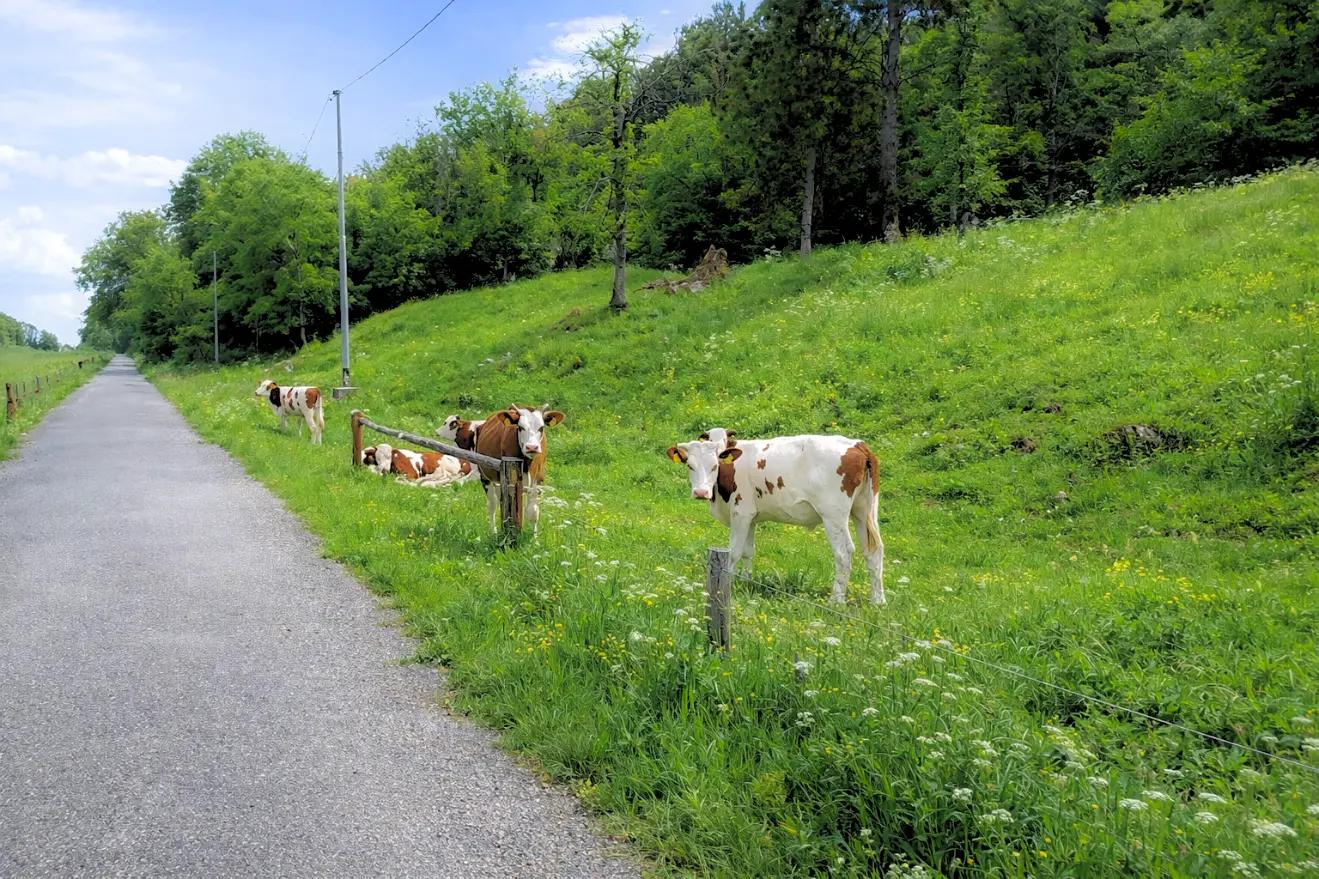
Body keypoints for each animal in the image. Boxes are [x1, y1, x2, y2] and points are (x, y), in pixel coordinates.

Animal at [472, 405, 565, 533]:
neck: (528, 464)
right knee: (492, 505)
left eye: (541, 428)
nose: (532, 447)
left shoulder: (538, 479)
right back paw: (493, 531)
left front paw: (534, 538)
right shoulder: (509, 482)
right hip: (485, 476)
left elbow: (533, 512)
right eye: (520, 427)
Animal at [668, 430, 885, 605]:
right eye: (690, 466)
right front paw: (746, 582)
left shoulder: (741, 513)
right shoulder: (751, 517)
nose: (701, 492)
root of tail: (857, 444)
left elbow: (734, 552)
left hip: (834, 515)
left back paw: (836, 600)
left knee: (844, 553)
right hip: (864, 510)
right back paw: (877, 600)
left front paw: (727, 585)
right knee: (873, 551)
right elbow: (748, 551)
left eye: (715, 465)